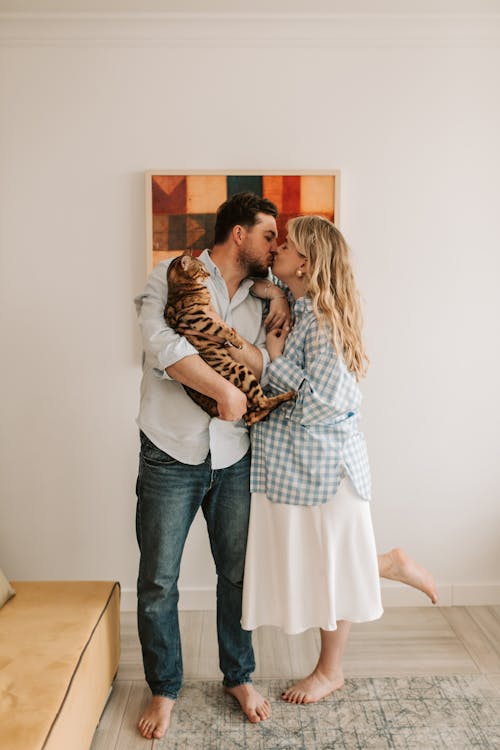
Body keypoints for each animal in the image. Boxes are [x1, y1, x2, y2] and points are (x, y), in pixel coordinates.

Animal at [164, 256, 296, 426]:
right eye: (201, 269)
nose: (208, 274)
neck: (178, 288)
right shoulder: (198, 318)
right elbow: (223, 328)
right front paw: (237, 341)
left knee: (253, 415)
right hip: (241, 371)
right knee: (261, 405)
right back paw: (289, 395)